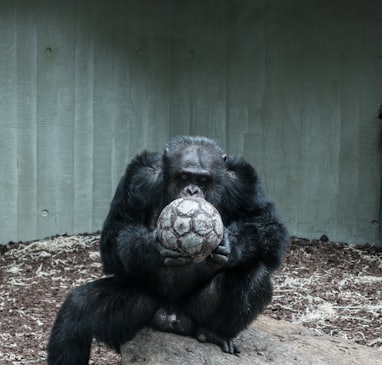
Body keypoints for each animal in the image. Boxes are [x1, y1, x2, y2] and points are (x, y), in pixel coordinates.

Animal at [46, 135, 288, 362]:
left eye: (203, 179)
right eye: (184, 176)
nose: (192, 190)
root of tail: (171, 318)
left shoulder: (245, 182)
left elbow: (267, 225)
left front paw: (231, 245)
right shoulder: (137, 177)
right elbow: (117, 230)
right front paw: (151, 247)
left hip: (194, 313)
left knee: (254, 275)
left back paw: (214, 333)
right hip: (140, 310)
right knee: (76, 313)